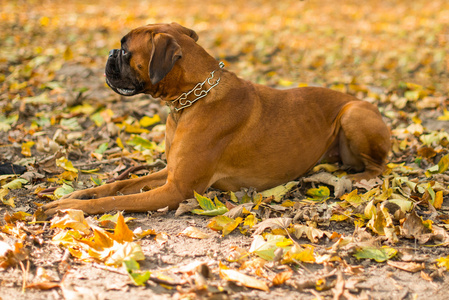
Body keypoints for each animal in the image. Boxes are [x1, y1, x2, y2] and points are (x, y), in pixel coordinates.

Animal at [43, 22, 390, 216]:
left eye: (126, 51)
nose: (110, 54)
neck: (189, 100)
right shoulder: (169, 174)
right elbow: (118, 185)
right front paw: (76, 194)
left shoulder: (177, 190)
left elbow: (113, 202)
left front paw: (72, 207)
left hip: (354, 114)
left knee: (378, 169)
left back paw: (352, 179)